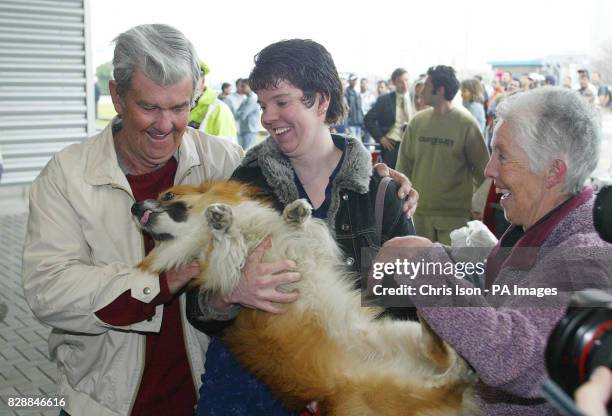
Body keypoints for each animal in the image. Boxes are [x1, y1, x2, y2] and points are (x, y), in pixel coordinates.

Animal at [131, 180, 478, 414]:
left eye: (169, 196)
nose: (134, 207)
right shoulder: (226, 269)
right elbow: (227, 249)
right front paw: (221, 223)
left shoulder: (308, 248)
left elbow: (302, 229)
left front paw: (294, 213)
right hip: (393, 384)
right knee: (444, 378)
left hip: (400, 333)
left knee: (443, 361)